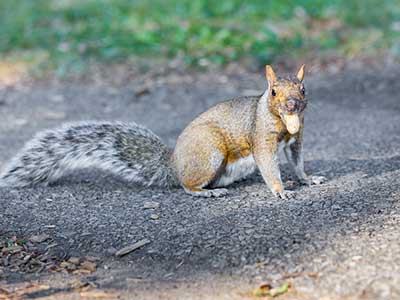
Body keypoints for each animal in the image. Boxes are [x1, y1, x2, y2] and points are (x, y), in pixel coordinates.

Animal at [0, 64, 324, 198]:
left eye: (303, 89)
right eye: (273, 92)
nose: (293, 105)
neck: (285, 123)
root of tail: (174, 164)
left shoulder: (296, 140)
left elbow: (297, 162)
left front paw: (307, 179)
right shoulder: (261, 139)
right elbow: (269, 165)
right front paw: (280, 190)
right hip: (209, 152)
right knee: (186, 185)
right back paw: (204, 193)